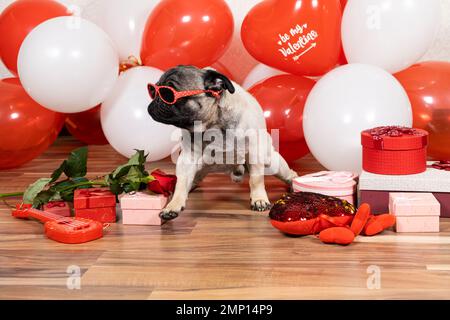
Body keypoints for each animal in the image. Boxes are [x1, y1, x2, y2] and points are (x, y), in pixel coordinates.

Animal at [147, 65, 296, 220]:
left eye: (167, 94)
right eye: (153, 91)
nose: (154, 102)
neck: (212, 124)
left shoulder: (254, 152)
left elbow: (256, 180)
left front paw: (259, 199)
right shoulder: (187, 158)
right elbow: (181, 183)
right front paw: (173, 205)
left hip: (272, 162)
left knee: (290, 173)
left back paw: (294, 184)